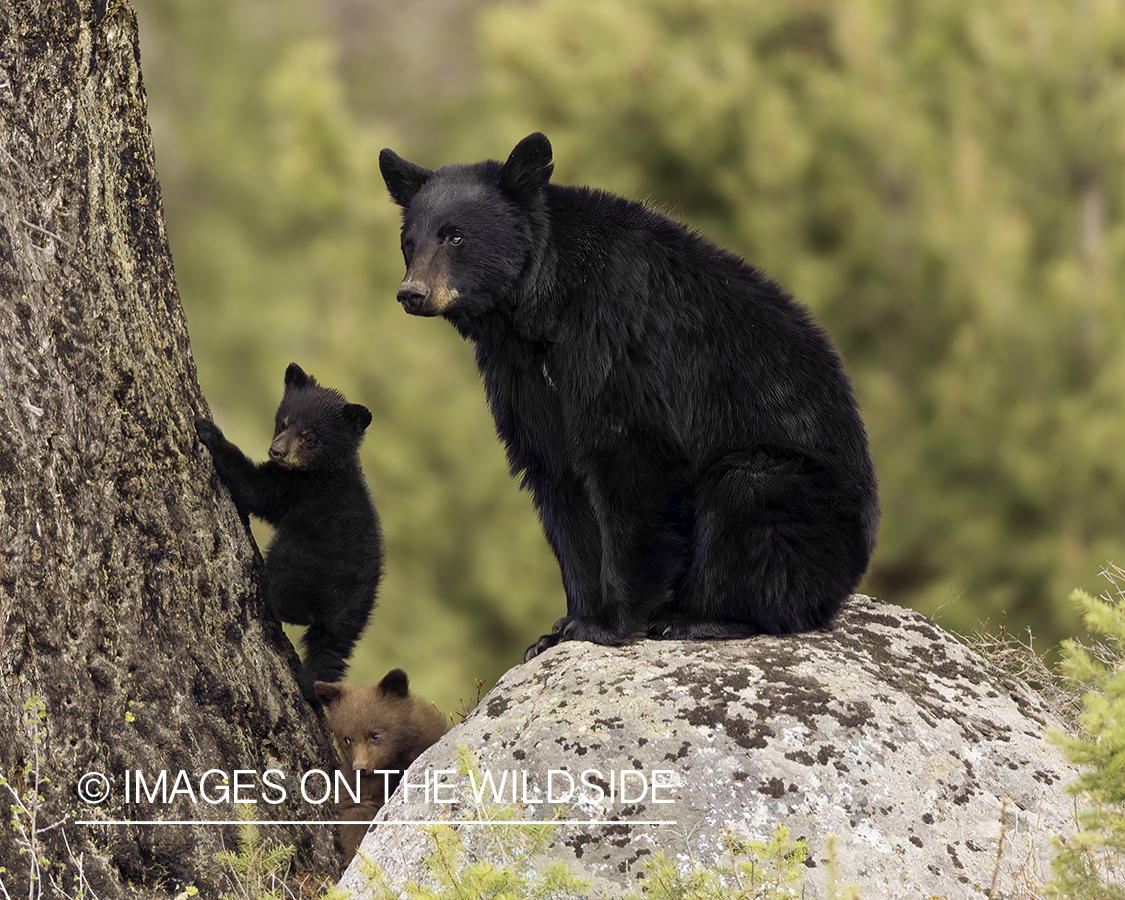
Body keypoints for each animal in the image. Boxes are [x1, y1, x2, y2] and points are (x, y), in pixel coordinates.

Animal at [195, 362, 384, 697]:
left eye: (309, 437)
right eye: (283, 422)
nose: (276, 451)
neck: (324, 470)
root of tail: (348, 609)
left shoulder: (296, 489)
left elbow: (255, 489)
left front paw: (210, 432)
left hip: (301, 562)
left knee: (294, 602)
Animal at [378, 131, 877, 661]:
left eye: (455, 237)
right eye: (409, 242)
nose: (411, 293)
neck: (541, 309)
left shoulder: (615, 342)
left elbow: (630, 459)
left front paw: (609, 623)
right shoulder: (522, 375)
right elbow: (557, 477)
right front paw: (562, 626)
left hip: (803, 500)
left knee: (746, 499)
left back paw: (694, 617)